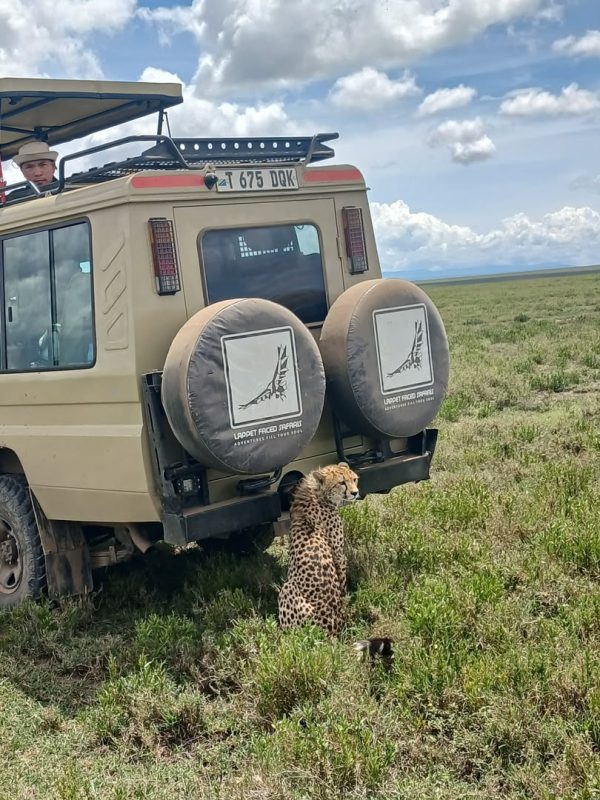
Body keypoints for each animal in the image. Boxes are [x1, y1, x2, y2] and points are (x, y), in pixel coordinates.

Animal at [278, 462, 359, 636]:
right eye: (342, 482)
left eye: (354, 479)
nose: (355, 493)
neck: (318, 493)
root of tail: (330, 631)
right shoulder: (339, 555)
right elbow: (342, 584)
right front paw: (345, 600)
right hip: (288, 587)